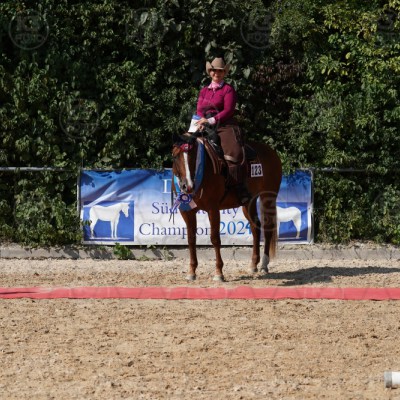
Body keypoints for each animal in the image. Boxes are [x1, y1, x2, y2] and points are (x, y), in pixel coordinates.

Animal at [172, 132, 282, 281]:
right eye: (175, 156)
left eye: (193, 156)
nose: (187, 186)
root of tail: (271, 152)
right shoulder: (187, 212)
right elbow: (191, 239)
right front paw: (191, 272)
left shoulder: (213, 209)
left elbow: (215, 238)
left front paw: (219, 272)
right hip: (249, 203)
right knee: (255, 227)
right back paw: (253, 264)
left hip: (268, 197)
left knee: (268, 227)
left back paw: (264, 264)